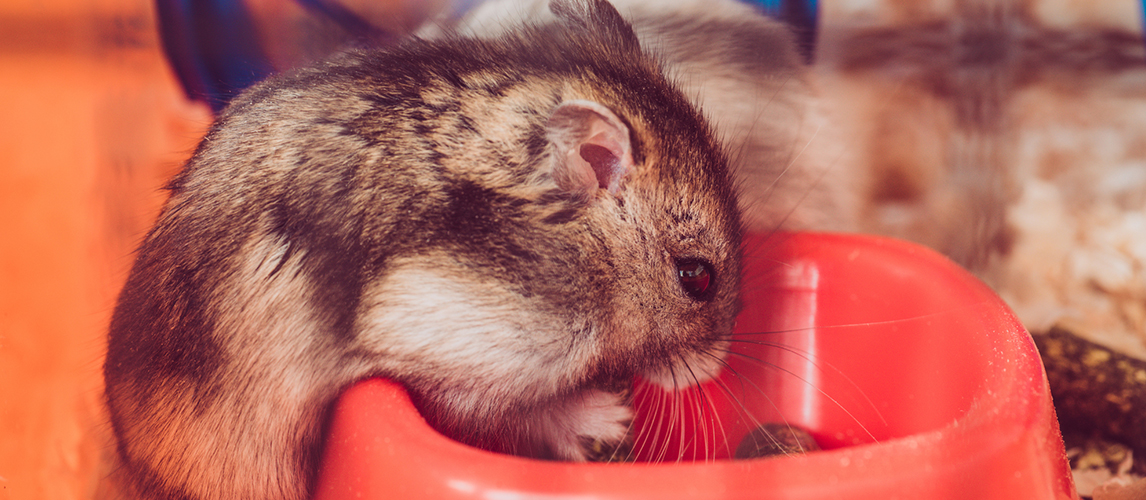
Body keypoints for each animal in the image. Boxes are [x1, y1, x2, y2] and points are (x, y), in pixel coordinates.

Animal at [105, 0, 742, 499]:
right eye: (696, 277)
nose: (713, 369)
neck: (580, 243)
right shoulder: (458, 336)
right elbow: (518, 409)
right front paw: (611, 416)